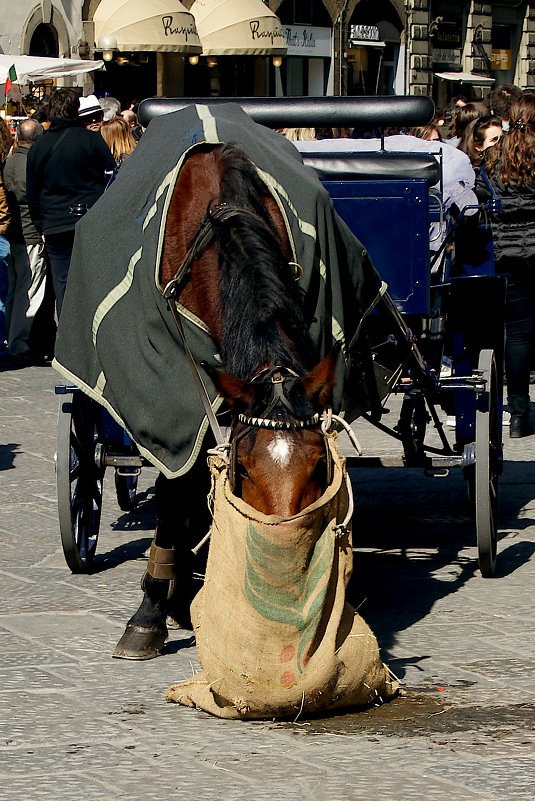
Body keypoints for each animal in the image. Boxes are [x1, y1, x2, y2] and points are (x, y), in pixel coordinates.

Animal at [113, 142, 340, 656]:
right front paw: (151, 611)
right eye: (246, 469)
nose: (284, 556)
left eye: (320, 465)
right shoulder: (173, 405)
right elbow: (175, 488)